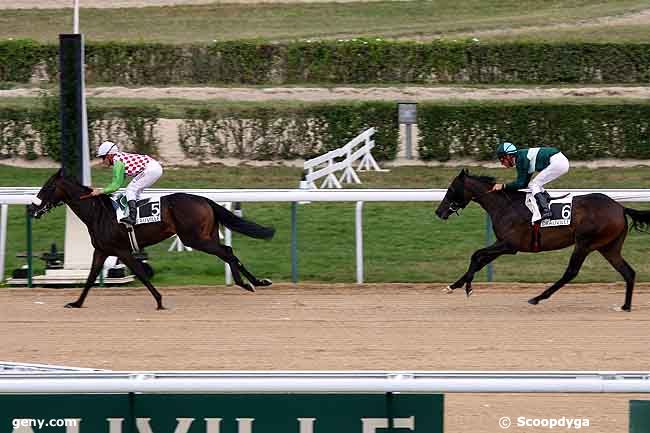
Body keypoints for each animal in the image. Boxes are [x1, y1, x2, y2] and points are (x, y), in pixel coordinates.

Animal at [28, 169, 274, 308]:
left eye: (47, 187)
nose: (32, 208)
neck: (98, 213)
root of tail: (204, 199)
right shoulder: (102, 250)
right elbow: (89, 279)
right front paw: (76, 303)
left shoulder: (122, 250)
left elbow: (141, 274)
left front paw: (160, 301)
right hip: (206, 235)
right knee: (228, 252)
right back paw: (257, 282)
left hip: (194, 238)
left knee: (227, 253)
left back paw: (246, 283)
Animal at [432, 169, 648, 310]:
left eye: (451, 189)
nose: (438, 212)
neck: (504, 206)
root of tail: (620, 207)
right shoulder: (501, 245)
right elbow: (479, 260)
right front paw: (453, 286)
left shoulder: (509, 245)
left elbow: (476, 255)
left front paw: (468, 288)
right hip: (608, 247)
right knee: (628, 272)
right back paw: (626, 306)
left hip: (585, 243)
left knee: (571, 272)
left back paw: (537, 298)